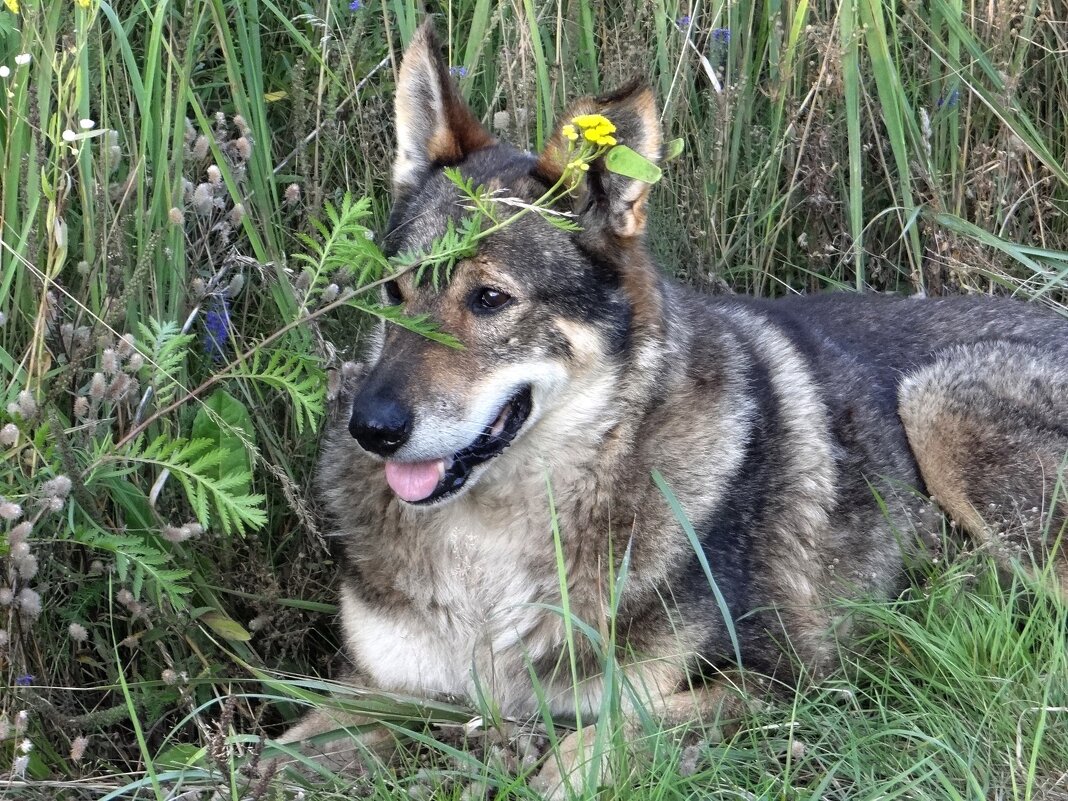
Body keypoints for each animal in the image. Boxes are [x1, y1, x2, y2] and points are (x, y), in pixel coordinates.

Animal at [277, 21, 1068, 798]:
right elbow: (276, 753)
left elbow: (578, 753)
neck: (493, 546)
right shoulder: (379, 691)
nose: (370, 429)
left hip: (937, 403)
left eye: (490, 299)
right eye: (395, 291)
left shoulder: (776, 684)